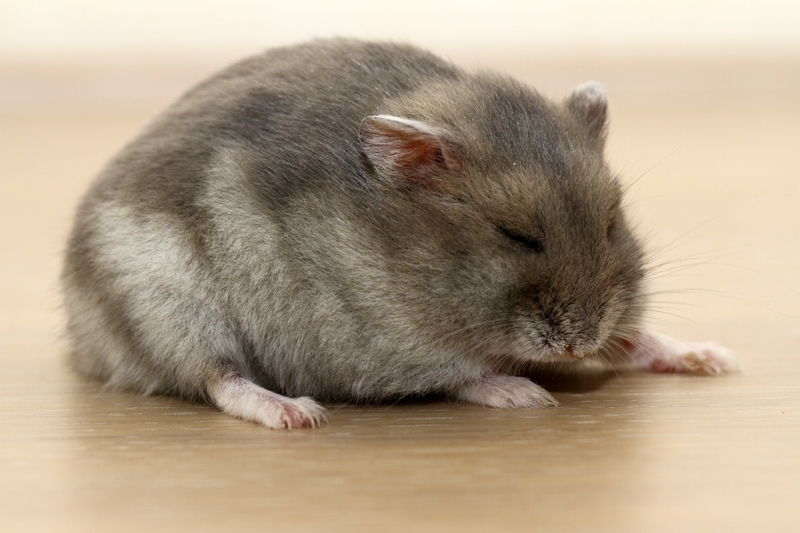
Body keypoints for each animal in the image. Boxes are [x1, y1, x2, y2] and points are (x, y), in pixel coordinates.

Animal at [62, 39, 737, 429]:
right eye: (515, 234)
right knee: (215, 378)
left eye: (611, 222)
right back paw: (295, 414)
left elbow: (634, 339)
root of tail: (82, 338)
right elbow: (464, 374)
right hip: (167, 307)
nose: (579, 341)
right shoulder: (383, 344)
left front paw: (714, 357)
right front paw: (527, 394)